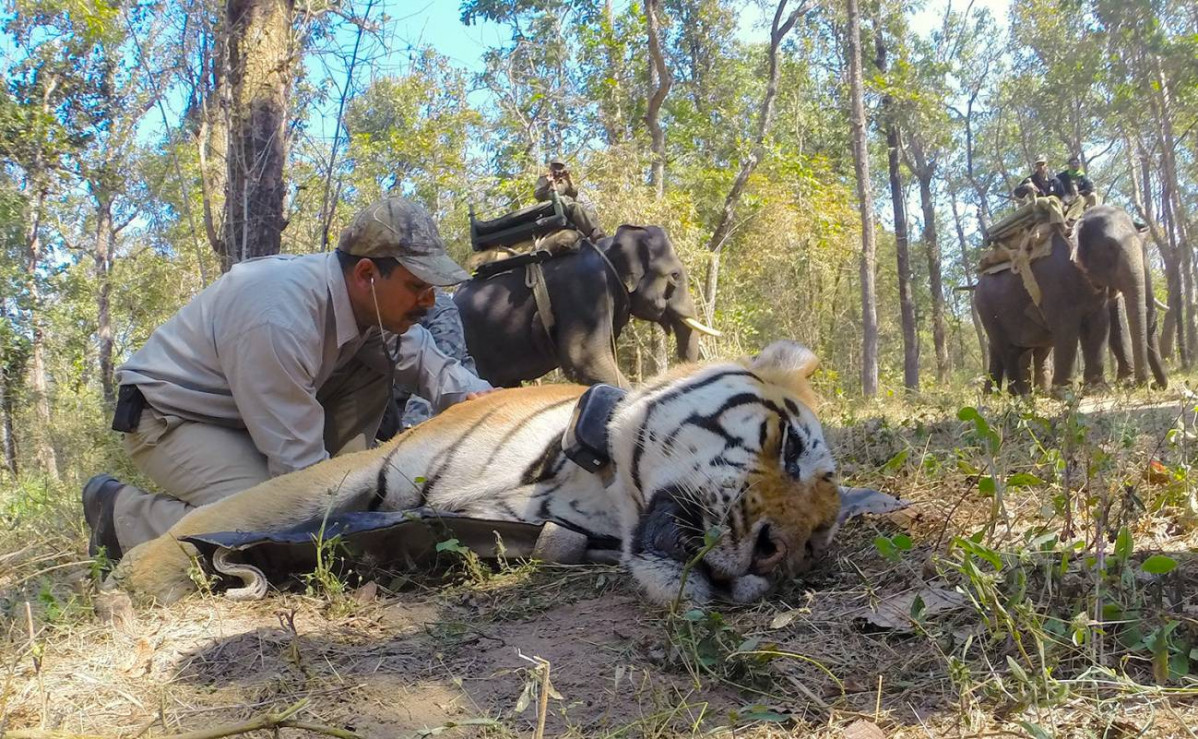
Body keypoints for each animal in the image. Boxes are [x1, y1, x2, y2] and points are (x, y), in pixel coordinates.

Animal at [972, 204, 1169, 395]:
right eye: (1110, 248)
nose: (1153, 386)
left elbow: (1102, 323)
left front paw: (1100, 389)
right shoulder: (1055, 281)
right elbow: (1066, 326)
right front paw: (1064, 392)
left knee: (1027, 349)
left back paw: (1027, 394)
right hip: (986, 309)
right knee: (1008, 349)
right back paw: (1019, 396)